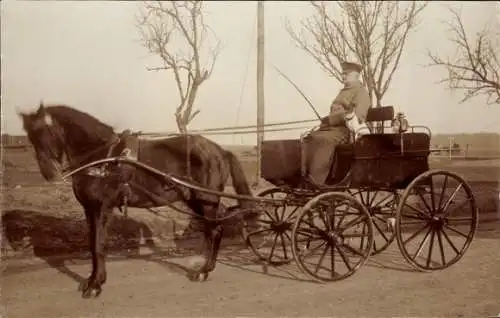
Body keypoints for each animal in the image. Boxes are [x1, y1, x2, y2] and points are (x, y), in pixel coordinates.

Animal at [19, 102, 258, 298]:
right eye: (31, 137)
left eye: (45, 132)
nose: (49, 173)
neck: (103, 158)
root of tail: (220, 150)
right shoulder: (89, 208)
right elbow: (92, 243)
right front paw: (91, 280)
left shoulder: (102, 207)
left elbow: (98, 244)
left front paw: (96, 285)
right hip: (196, 200)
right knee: (214, 227)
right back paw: (204, 267)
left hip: (206, 199)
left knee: (215, 230)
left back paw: (203, 271)